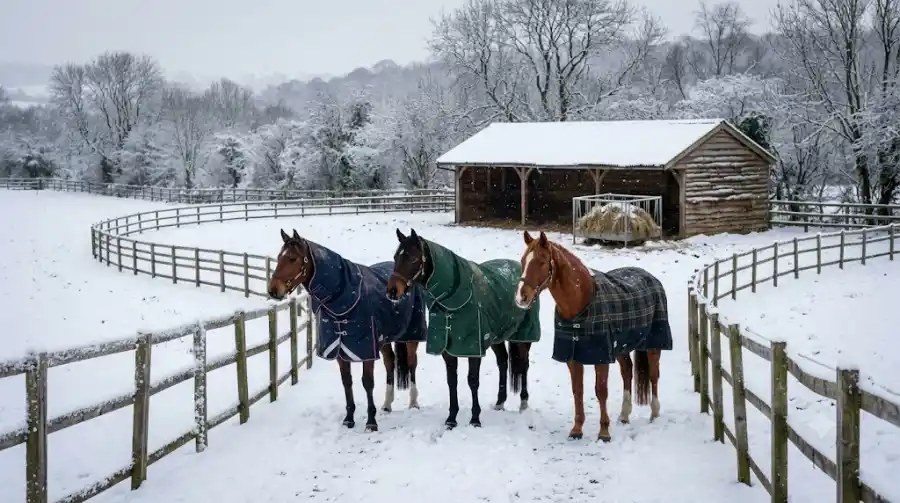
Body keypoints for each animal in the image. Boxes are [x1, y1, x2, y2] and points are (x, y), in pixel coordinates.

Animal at [268, 229, 428, 432]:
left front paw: (371, 422)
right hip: (384, 340)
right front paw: (349, 419)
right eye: (279, 257)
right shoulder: (340, 350)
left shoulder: (366, 350)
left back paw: (413, 403)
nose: (273, 290)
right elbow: (347, 382)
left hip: (411, 336)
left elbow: (367, 382)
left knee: (412, 364)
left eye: (293, 258)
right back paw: (387, 404)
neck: (343, 300)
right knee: (390, 363)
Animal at [386, 228, 541, 429]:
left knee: (523, 364)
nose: (391, 291)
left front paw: (475, 419)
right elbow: (452, 381)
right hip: (496, 337)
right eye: (396, 256)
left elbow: (472, 381)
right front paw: (451, 419)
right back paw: (500, 403)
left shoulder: (473, 348)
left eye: (412, 258)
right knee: (503, 362)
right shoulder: (448, 350)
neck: (452, 301)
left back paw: (523, 403)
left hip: (523, 336)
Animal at [514, 230, 672, 442]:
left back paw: (654, 414)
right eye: (523, 261)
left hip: (654, 343)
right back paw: (624, 415)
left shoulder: (601, 357)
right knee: (627, 372)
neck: (581, 304)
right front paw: (576, 429)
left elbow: (601, 391)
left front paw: (604, 432)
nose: (521, 297)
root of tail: (651, 277)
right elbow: (578, 390)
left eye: (541, 261)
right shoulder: (573, 357)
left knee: (654, 375)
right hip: (621, 348)